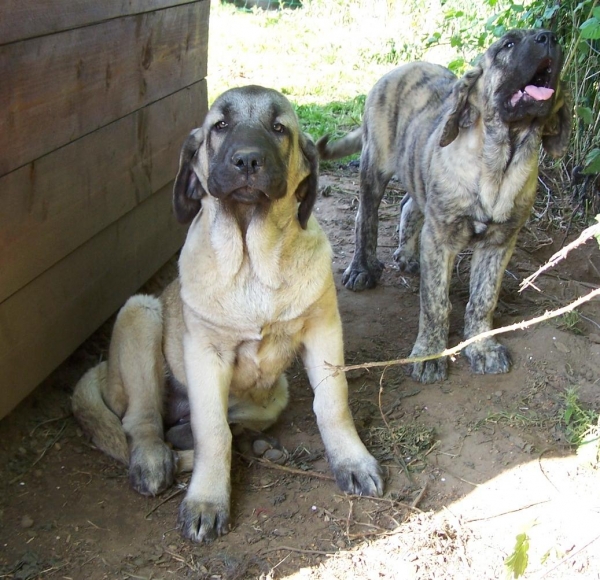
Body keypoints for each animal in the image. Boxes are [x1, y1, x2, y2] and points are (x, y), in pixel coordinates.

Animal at [72, 86, 382, 544]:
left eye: (278, 128)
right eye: (220, 125)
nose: (248, 161)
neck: (253, 260)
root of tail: (105, 371)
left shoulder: (324, 329)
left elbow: (333, 403)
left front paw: (352, 461)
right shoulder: (205, 353)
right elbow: (212, 431)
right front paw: (206, 501)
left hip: (275, 394)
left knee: (209, 423)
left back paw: (241, 441)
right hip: (139, 313)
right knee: (142, 420)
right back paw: (155, 459)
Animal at [318, 31, 572, 386]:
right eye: (508, 45)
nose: (548, 36)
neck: (499, 163)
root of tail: (402, 67)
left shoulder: (499, 244)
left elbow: (483, 299)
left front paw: (481, 349)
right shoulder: (440, 240)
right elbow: (436, 303)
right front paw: (429, 355)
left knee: (410, 204)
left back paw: (408, 255)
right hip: (374, 166)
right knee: (365, 218)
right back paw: (361, 269)